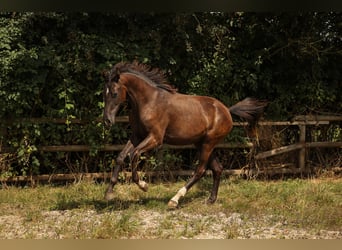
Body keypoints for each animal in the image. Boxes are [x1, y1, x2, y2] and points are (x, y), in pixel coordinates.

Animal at [101, 61, 268, 209]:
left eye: (114, 93)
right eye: (104, 93)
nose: (107, 121)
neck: (149, 101)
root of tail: (227, 110)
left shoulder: (155, 138)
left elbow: (134, 154)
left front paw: (143, 186)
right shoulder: (137, 136)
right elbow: (121, 157)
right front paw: (109, 193)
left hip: (208, 143)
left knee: (200, 170)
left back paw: (174, 200)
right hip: (202, 144)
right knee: (217, 168)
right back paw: (211, 200)